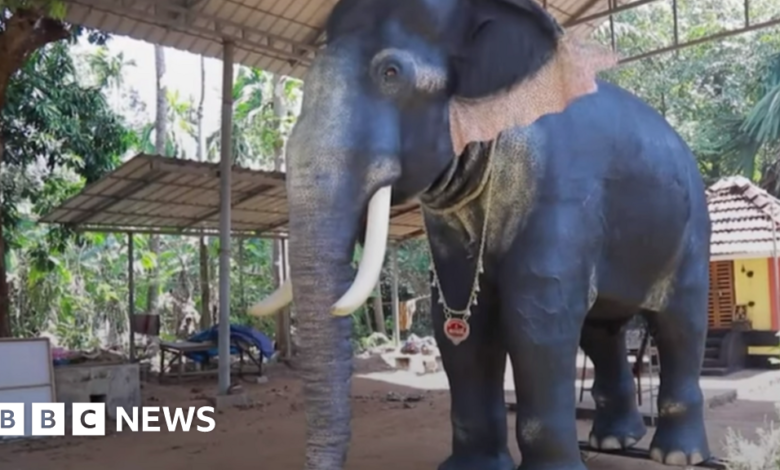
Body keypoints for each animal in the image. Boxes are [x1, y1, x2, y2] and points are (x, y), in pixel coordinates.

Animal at [251, 0, 712, 470]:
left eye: (391, 73)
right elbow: (458, 323)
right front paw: (472, 467)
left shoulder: (563, 188)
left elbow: (539, 315)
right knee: (604, 330)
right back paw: (614, 441)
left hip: (694, 230)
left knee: (681, 323)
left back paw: (678, 454)